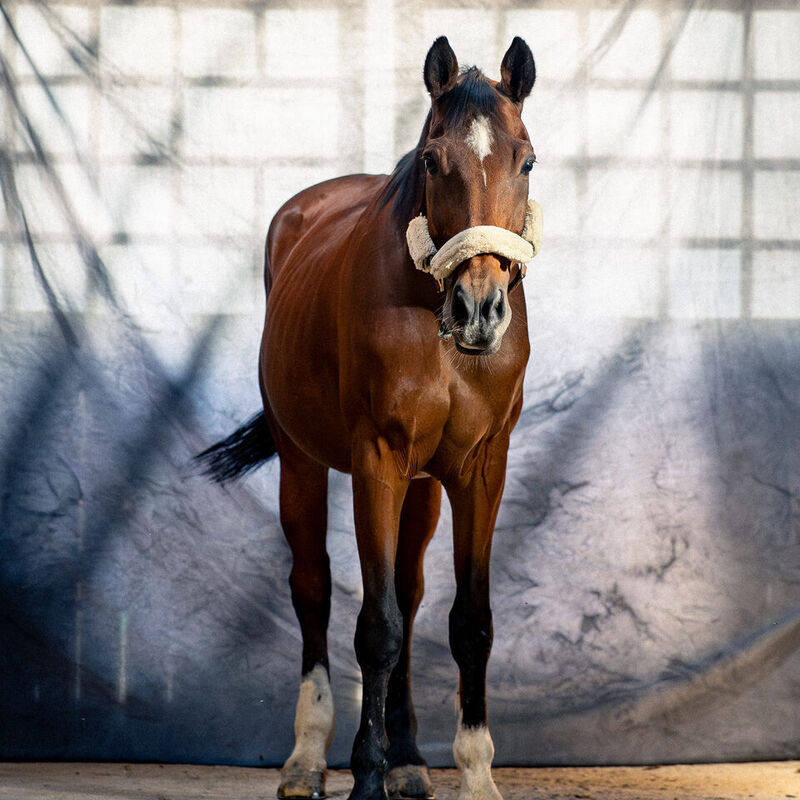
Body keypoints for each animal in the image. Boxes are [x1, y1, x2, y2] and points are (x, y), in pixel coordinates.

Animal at [198, 35, 539, 800]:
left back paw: (410, 759)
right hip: (302, 462)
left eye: (526, 160)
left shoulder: (481, 469)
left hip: (422, 488)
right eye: (434, 161)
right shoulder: (375, 461)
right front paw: (365, 774)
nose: (480, 309)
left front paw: (474, 772)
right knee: (314, 589)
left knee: (410, 595)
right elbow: (374, 625)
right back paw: (306, 757)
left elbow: (467, 621)